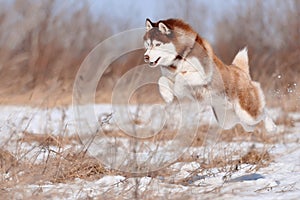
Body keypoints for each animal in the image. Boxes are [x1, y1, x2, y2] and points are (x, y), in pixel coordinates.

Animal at [143, 18, 276, 132]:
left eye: (158, 44)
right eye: (148, 44)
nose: (146, 57)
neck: (181, 56)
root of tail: (240, 70)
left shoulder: (203, 74)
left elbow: (181, 76)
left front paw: (177, 89)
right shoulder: (170, 77)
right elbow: (162, 79)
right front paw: (167, 95)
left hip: (247, 113)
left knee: (262, 113)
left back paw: (271, 126)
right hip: (228, 121)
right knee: (250, 125)